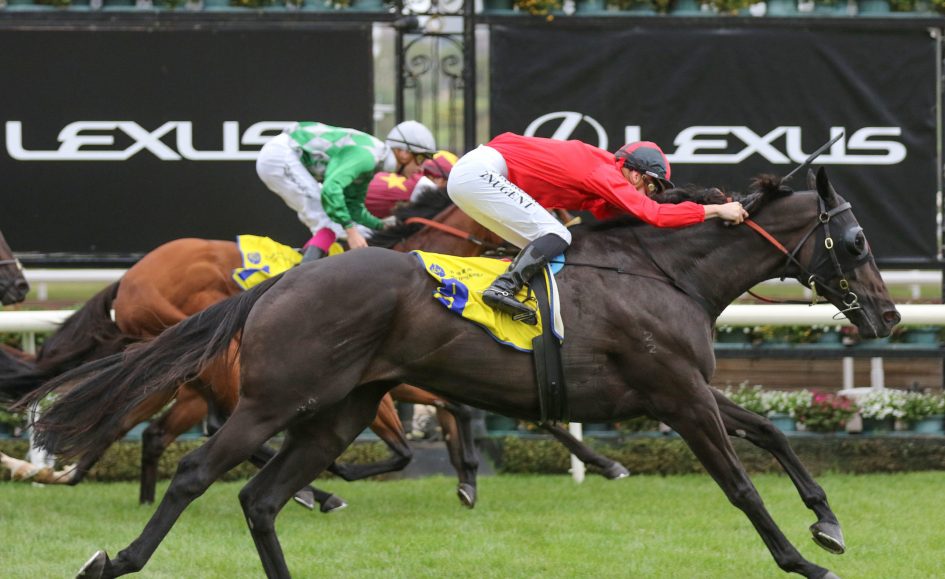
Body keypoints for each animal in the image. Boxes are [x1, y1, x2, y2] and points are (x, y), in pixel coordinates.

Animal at [34, 169, 900, 578]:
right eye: (856, 241)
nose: (888, 317)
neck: (662, 270)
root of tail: (275, 284)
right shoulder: (675, 393)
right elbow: (740, 482)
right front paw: (803, 558)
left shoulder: (679, 387)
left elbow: (769, 434)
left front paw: (826, 519)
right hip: (277, 398)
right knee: (196, 473)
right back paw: (116, 558)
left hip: (340, 409)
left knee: (260, 497)